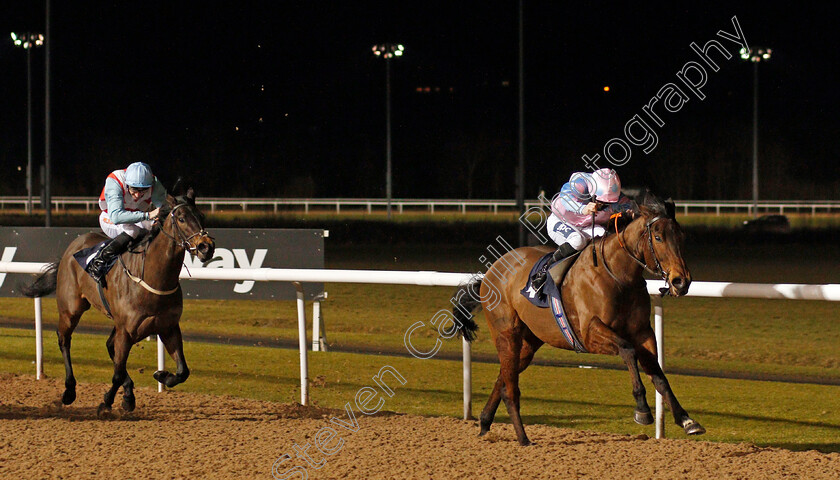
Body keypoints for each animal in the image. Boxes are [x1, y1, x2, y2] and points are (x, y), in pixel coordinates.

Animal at [22, 189, 215, 414]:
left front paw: (160, 376)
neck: (153, 278)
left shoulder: (168, 327)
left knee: (110, 347)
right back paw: (69, 390)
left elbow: (183, 371)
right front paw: (106, 401)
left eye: (202, 216)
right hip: (71, 309)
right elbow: (116, 373)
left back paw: (129, 393)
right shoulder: (127, 330)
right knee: (64, 339)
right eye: (182, 218)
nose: (206, 247)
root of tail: (73, 245)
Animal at [452, 189, 704, 444]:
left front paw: (686, 420)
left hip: (529, 341)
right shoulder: (589, 333)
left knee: (504, 376)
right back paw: (523, 438)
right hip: (506, 333)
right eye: (659, 237)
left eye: (681, 236)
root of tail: (491, 272)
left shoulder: (643, 332)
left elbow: (659, 376)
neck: (619, 276)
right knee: (510, 386)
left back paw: (485, 422)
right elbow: (628, 350)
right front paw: (642, 409)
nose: (681, 281)